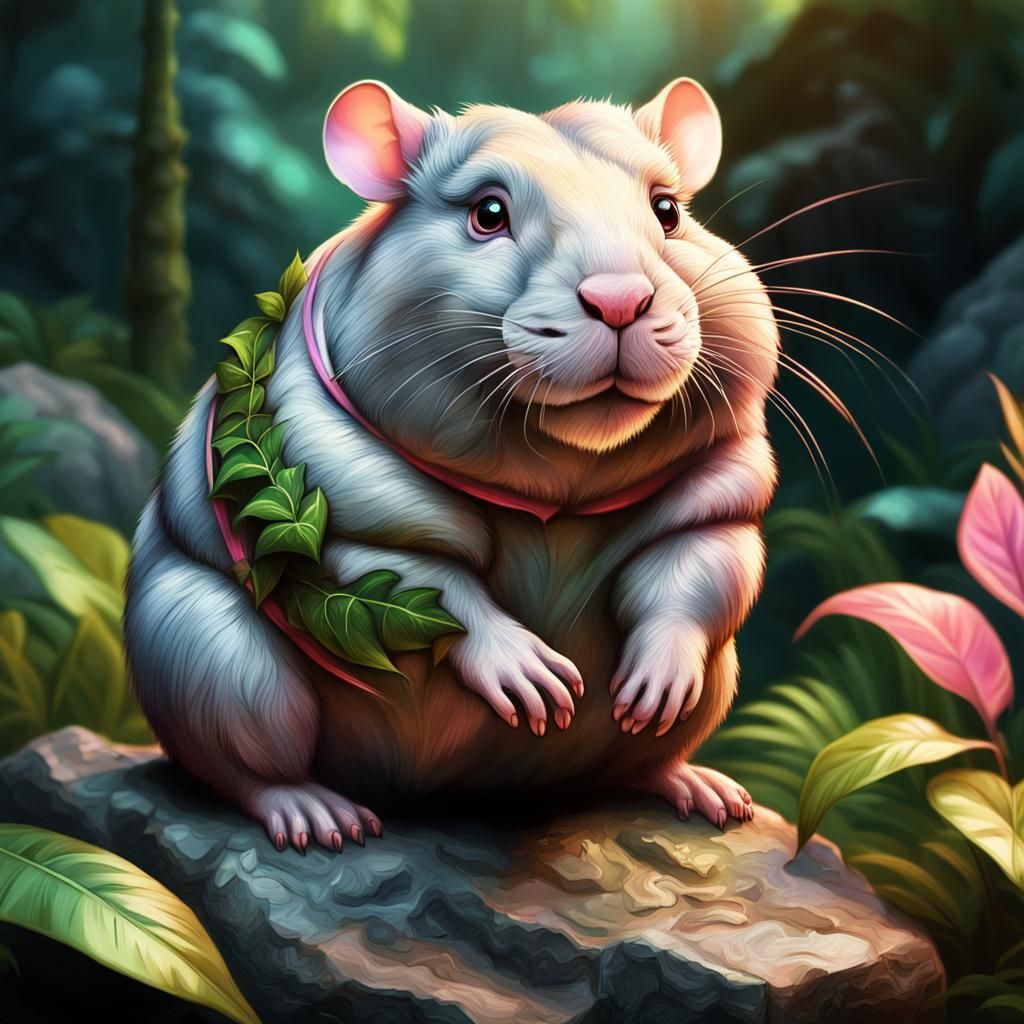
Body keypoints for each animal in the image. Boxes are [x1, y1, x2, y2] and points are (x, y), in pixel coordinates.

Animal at [124, 78, 778, 853]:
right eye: (488, 213)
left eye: (668, 210)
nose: (620, 300)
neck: (562, 475)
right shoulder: (338, 480)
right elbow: (414, 574)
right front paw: (529, 673)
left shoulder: (720, 480)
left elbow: (701, 562)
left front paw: (657, 680)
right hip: (206, 655)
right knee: (241, 755)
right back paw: (317, 815)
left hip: (713, 688)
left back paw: (698, 786)